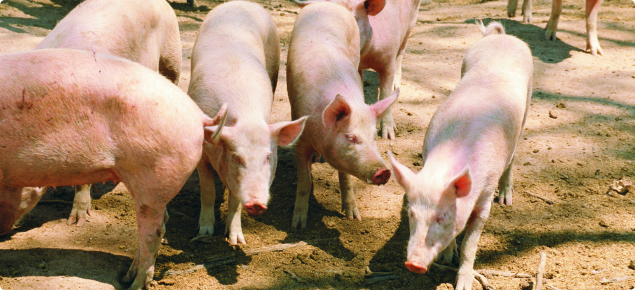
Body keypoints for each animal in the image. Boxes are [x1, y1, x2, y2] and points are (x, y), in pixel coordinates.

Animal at [0, 48, 227, 288]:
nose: (2, 230)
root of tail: (200, 116)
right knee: (159, 225)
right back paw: (127, 276)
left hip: (156, 175)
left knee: (154, 233)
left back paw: (135, 285)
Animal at [186, 0, 308, 245]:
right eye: (236, 157)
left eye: (268, 157)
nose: (257, 203)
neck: (246, 117)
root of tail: (241, 3)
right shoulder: (203, 153)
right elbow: (207, 190)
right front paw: (205, 232)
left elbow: (235, 200)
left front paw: (236, 241)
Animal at [286, 1, 398, 229]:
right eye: (351, 137)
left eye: (374, 137)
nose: (384, 171)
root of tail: (328, 4)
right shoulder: (300, 141)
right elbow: (305, 181)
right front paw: (298, 225)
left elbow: (345, 179)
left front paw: (354, 217)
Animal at [388, 21, 532, 290]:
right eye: (411, 214)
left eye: (442, 216)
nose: (413, 264)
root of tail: (503, 37)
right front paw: (446, 257)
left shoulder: (484, 197)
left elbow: (470, 245)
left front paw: (463, 284)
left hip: (527, 103)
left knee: (514, 157)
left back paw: (506, 200)